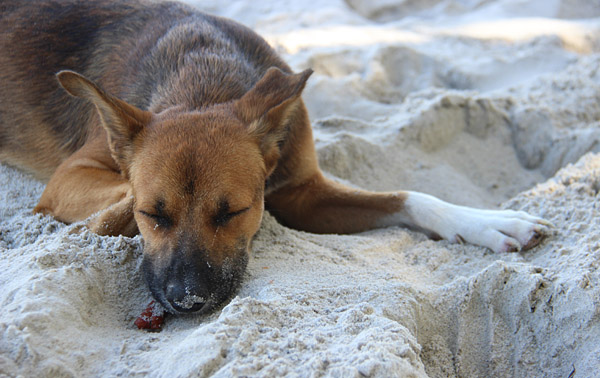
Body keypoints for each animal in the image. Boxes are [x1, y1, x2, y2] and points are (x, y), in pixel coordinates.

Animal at [0, 0, 552, 322]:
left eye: (233, 212)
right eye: (153, 215)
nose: (187, 300)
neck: (203, 80)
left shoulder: (305, 194)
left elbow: (409, 196)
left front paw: (485, 222)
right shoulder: (70, 177)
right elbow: (112, 201)